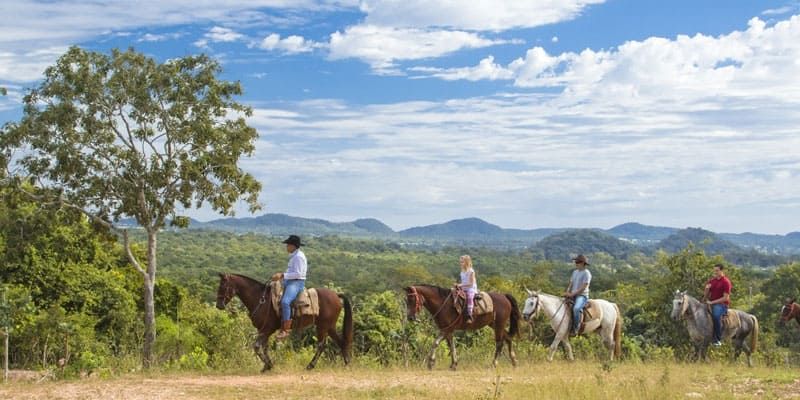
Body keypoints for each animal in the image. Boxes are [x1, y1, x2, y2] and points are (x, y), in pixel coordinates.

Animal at [214, 274, 352, 370]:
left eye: (223, 287)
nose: (219, 305)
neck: (261, 300)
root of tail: (336, 295)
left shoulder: (267, 330)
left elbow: (257, 346)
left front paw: (268, 365)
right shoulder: (263, 330)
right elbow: (264, 347)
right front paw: (267, 366)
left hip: (323, 326)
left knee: (321, 345)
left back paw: (310, 366)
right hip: (330, 326)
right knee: (341, 342)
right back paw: (346, 363)